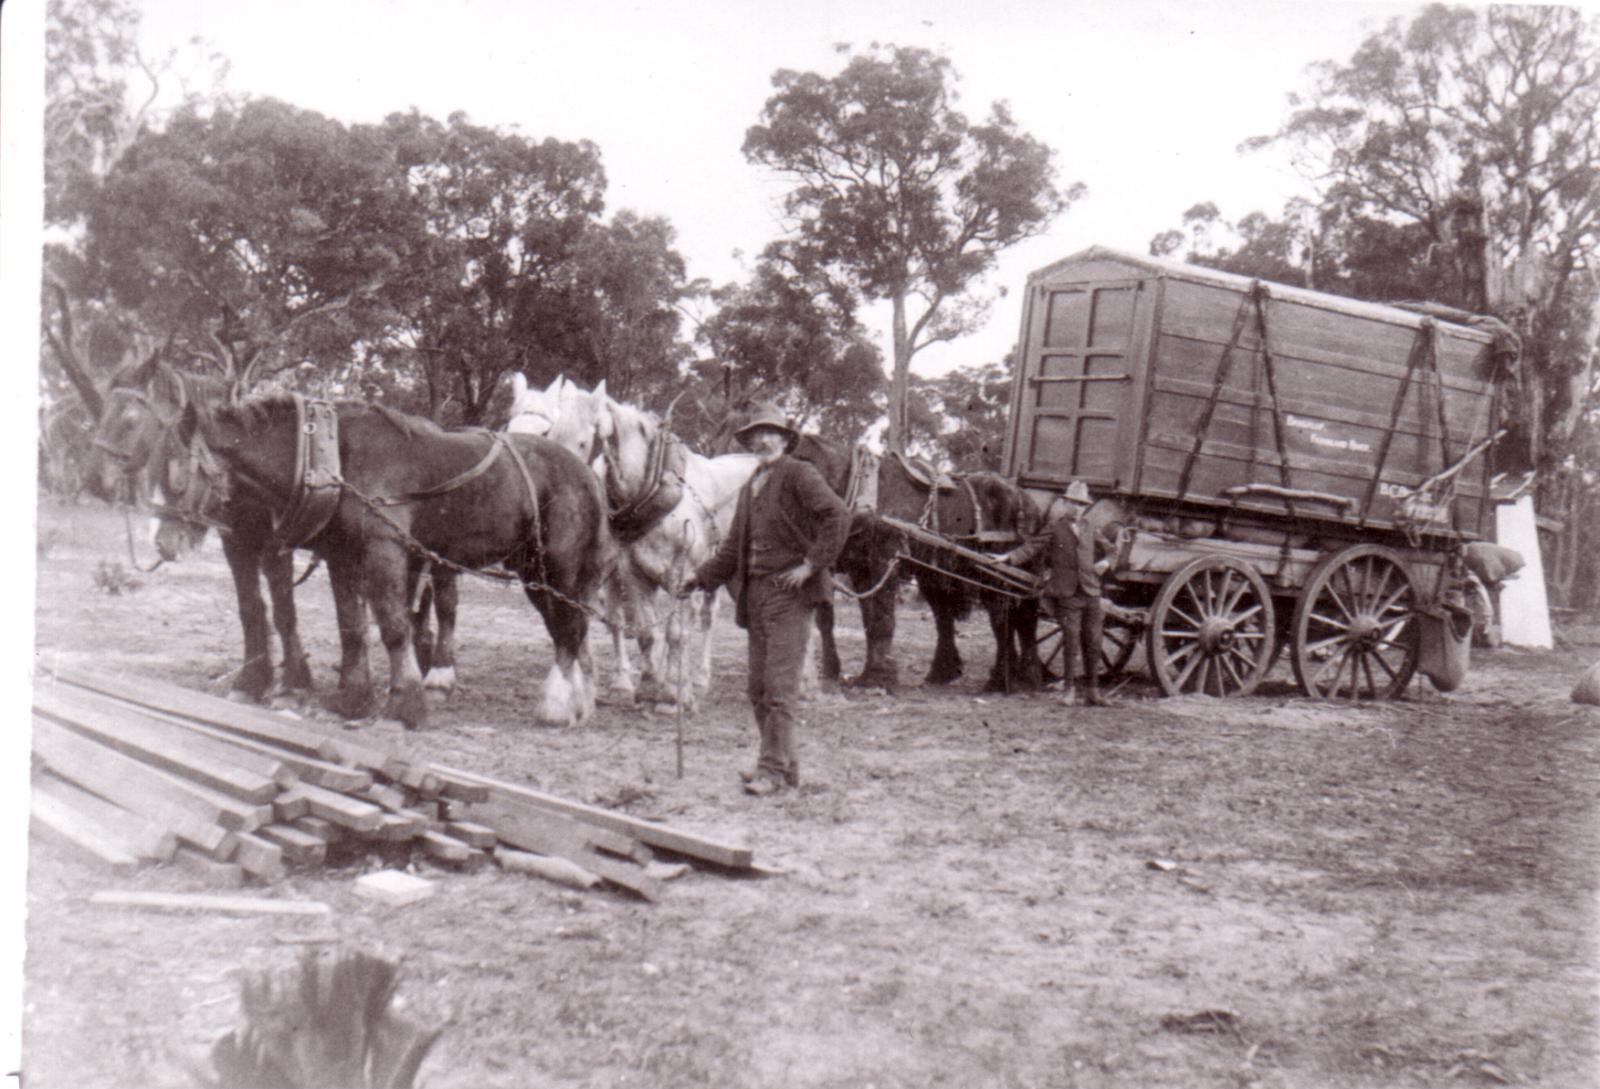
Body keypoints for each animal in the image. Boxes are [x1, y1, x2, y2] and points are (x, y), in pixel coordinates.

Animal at [181, 386, 611, 726]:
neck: (330, 459)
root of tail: (585, 474)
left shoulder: (382, 551)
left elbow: (393, 626)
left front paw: (404, 706)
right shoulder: (342, 556)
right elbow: (352, 626)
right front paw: (353, 700)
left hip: (560, 568)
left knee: (569, 628)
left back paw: (557, 706)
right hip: (533, 572)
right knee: (566, 628)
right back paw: (579, 701)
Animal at [512, 369, 761, 710]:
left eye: (583, 441)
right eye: (553, 434)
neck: (651, 489)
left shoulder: (681, 573)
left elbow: (676, 632)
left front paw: (673, 695)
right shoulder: (630, 572)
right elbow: (644, 631)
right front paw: (647, 683)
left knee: (713, 618)